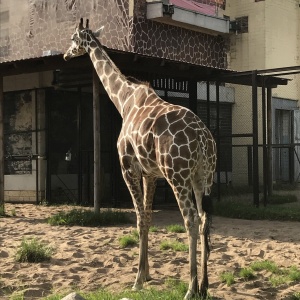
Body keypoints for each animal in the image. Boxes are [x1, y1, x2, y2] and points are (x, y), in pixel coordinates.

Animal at [64, 19, 217, 300]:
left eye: (73, 38)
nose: (65, 55)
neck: (123, 100)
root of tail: (203, 139)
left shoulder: (129, 169)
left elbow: (138, 219)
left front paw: (137, 280)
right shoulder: (151, 174)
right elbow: (147, 217)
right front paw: (146, 275)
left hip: (178, 176)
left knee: (190, 219)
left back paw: (190, 288)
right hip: (204, 176)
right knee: (204, 220)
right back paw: (204, 286)